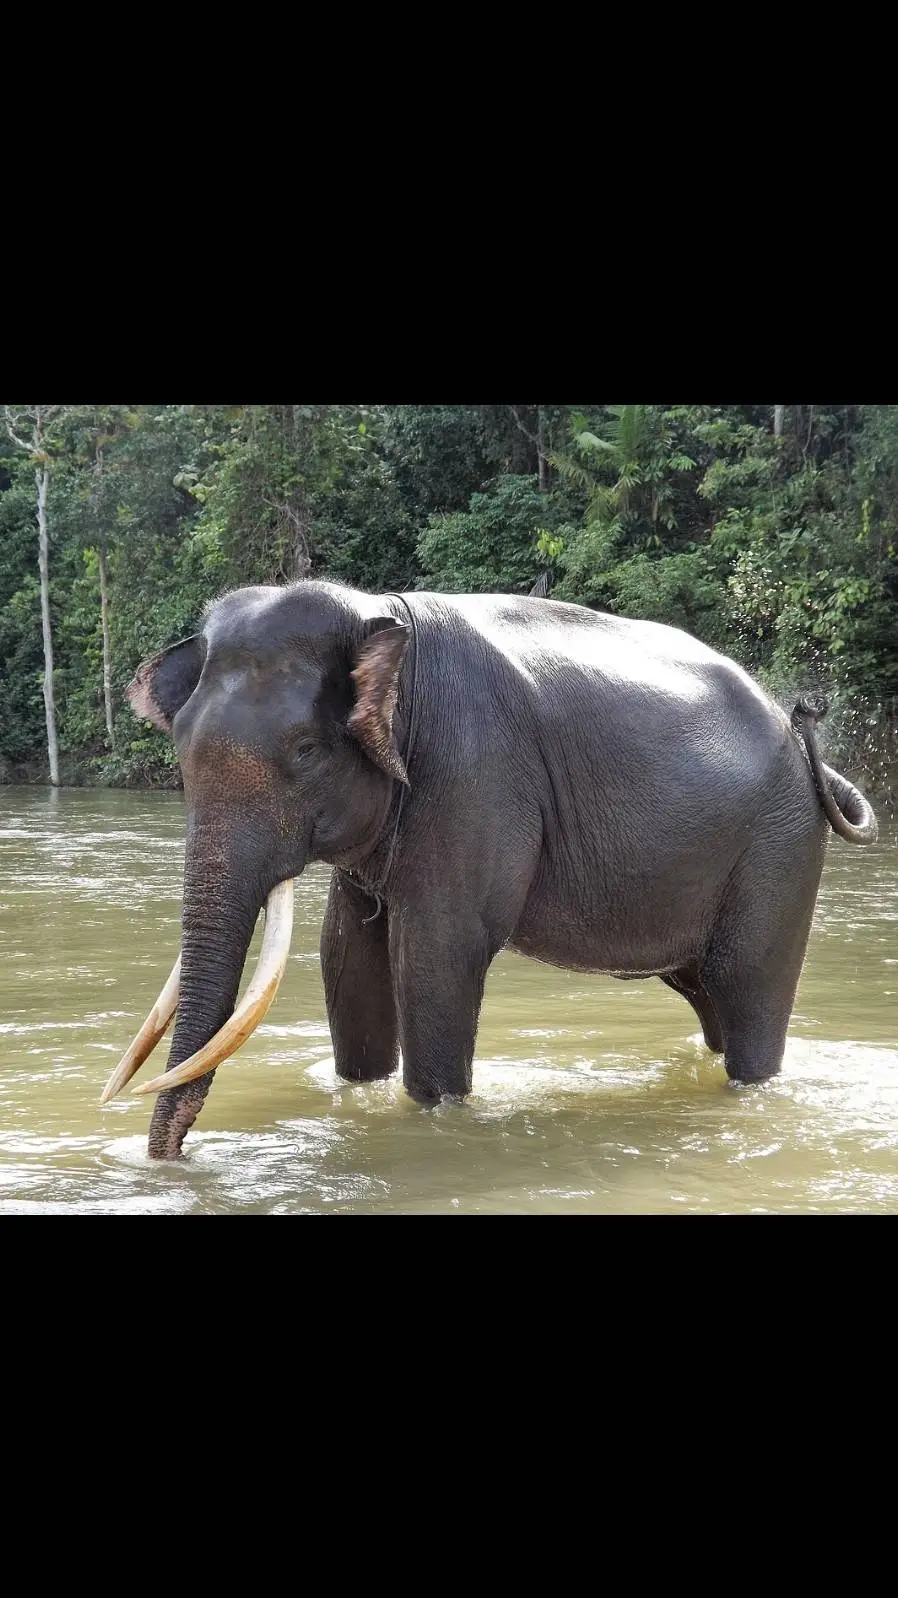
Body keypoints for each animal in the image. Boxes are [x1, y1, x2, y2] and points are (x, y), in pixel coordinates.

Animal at [100, 579, 878, 1160]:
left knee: (749, 997)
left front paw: (436, 1115)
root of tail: (807, 745)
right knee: (710, 998)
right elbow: (347, 957)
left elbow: (437, 955)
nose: (175, 1159)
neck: (379, 616)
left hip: (779, 849)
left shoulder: (472, 774)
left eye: (306, 751)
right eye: (180, 751)